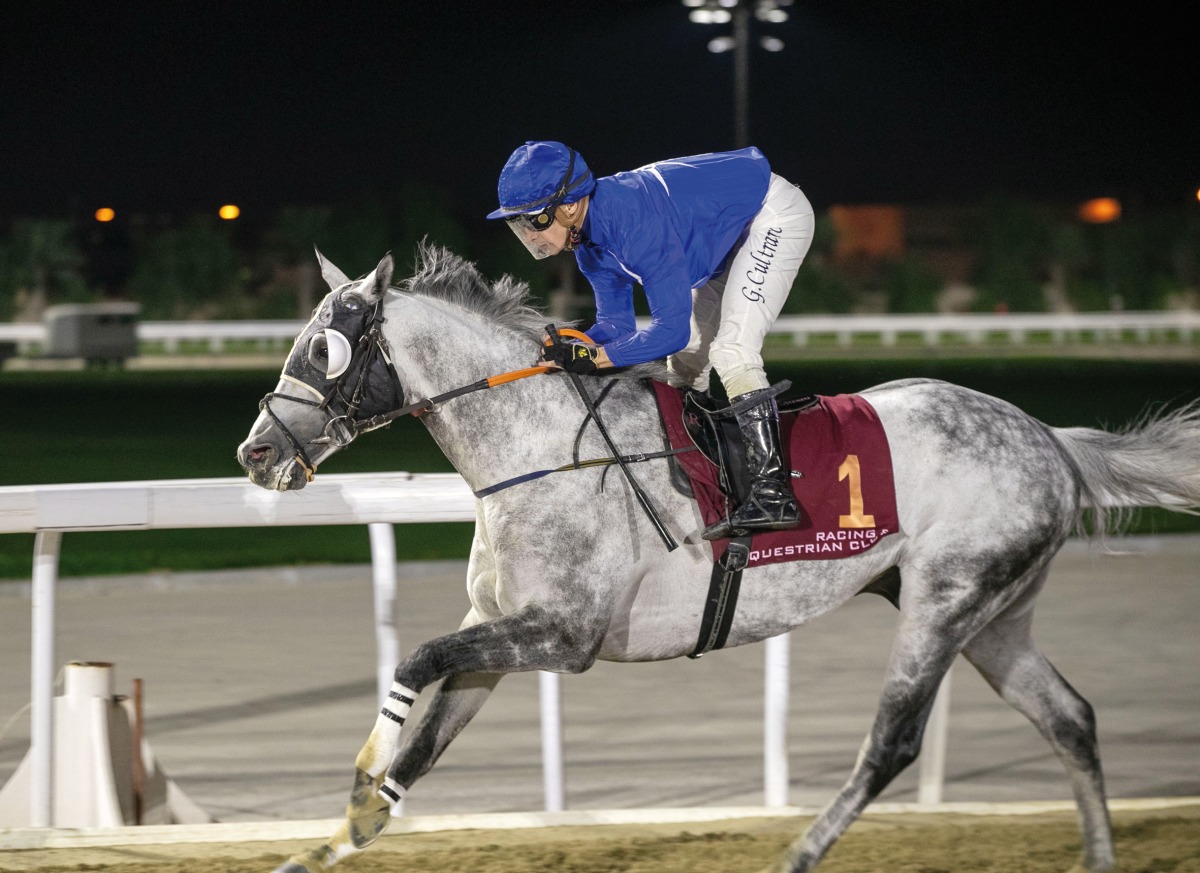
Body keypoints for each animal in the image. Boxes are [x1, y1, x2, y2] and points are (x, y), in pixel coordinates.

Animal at [234, 243, 1200, 873]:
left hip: (947, 596)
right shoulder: (500, 629)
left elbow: (413, 661)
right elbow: (426, 746)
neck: (538, 447)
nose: (254, 452)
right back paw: (1098, 857)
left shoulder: (562, 634)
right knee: (1068, 715)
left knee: (892, 741)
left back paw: (799, 852)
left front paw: (360, 776)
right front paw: (330, 839)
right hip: (996, 613)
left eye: (322, 348)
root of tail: (1050, 438)